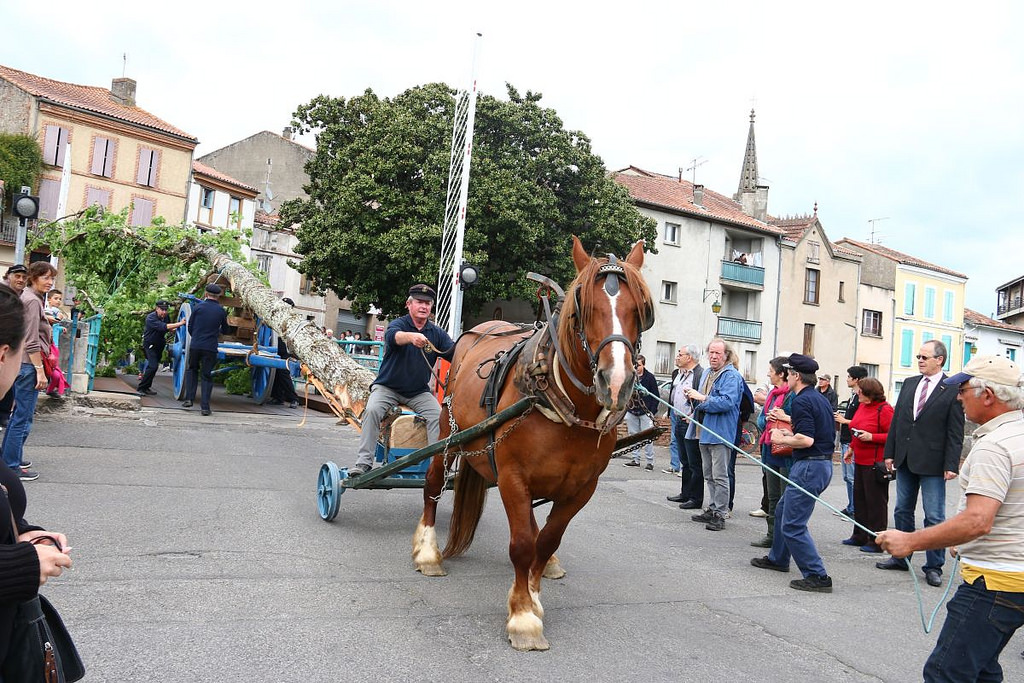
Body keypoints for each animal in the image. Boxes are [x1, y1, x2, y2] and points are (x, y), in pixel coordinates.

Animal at [411, 235, 651, 651]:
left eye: (640, 310)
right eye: (582, 310)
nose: (617, 383)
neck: (563, 404)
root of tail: (477, 330)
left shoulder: (582, 488)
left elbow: (548, 540)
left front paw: (534, 598)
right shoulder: (512, 477)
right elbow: (522, 544)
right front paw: (523, 616)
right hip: (447, 433)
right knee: (432, 484)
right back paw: (428, 551)